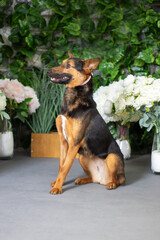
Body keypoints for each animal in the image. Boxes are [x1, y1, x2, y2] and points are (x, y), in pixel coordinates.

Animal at [47, 51, 125, 194]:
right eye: (61, 63)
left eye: (68, 65)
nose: (48, 71)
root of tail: (103, 179)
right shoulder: (63, 141)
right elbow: (61, 164)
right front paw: (57, 183)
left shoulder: (74, 143)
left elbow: (65, 168)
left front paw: (58, 187)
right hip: (83, 157)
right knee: (93, 178)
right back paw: (83, 179)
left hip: (112, 157)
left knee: (117, 180)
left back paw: (112, 183)